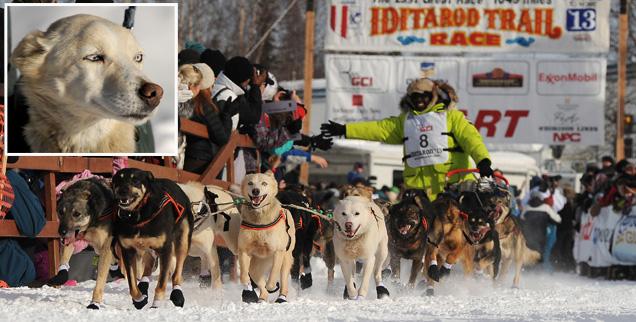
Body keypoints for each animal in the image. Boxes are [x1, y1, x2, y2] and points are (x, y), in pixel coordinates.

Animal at [111, 167, 194, 308]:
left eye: (135, 180)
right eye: (119, 179)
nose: (122, 191)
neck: (139, 214)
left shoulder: (165, 250)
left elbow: (162, 282)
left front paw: (157, 303)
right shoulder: (127, 251)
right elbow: (132, 284)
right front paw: (139, 299)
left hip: (182, 243)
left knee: (177, 274)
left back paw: (177, 295)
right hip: (148, 248)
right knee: (147, 269)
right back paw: (143, 286)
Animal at [238, 172, 296, 304]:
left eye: (264, 183)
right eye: (250, 183)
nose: (255, 191)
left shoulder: (278, 252)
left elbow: (273, 274)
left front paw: (271, 285)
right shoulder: (244, 250)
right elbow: (243, 275)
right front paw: (247, 285)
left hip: (286, 259)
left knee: (283, 280)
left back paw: (281, 297)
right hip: (255, 267)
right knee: (260, 284)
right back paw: (262, 298)